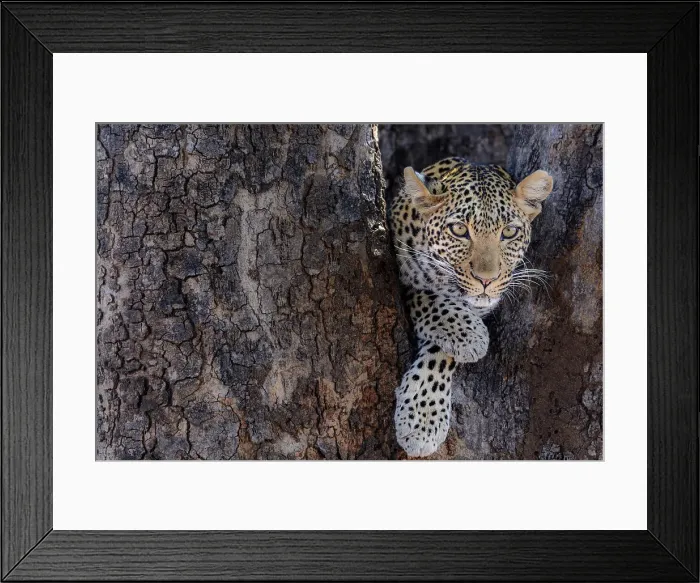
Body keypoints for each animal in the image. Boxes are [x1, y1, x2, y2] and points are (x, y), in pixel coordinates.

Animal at [389, 157, 553, 457]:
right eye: (459, 230)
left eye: (509, 232)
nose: (486, 280)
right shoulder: (401, 274)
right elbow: (426, 295)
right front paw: (467, 334)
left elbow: (439, 353)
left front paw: (421, 418)